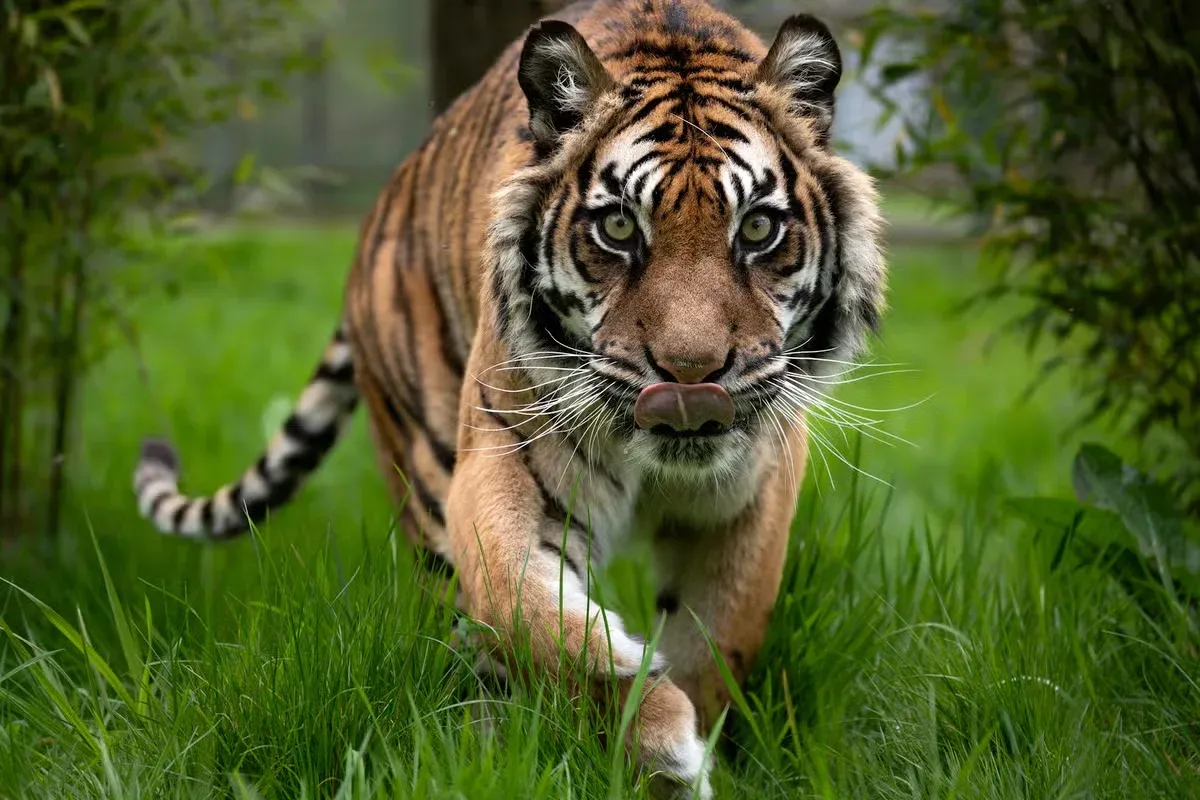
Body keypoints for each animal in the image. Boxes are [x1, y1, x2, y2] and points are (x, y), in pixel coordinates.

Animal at [131, 1, 887, 796]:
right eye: (619, 227)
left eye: (758, 227)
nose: (690, 377)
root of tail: (382, 207)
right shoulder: (501, 466)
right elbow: (521, 604)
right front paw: (646, 717)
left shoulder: (754, 495)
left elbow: (718, 637)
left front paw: (683, 748)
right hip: (426, 473)